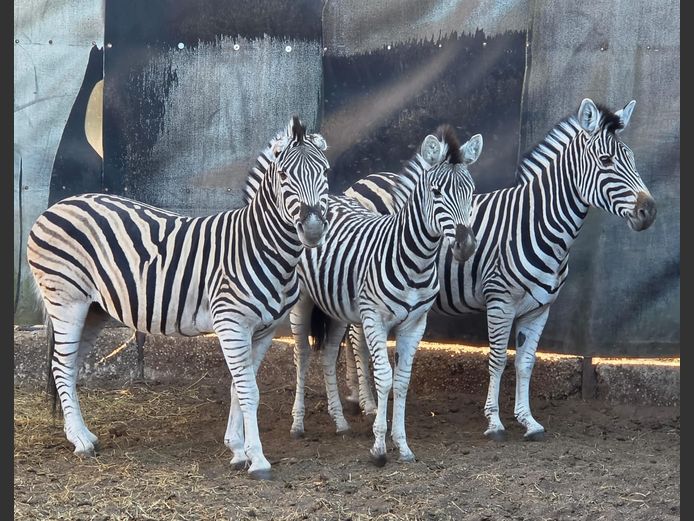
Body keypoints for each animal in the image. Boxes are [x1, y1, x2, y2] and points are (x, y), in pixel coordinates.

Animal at [27, 116, 331, 480]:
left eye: (325, 171)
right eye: (284, 176)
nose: (313, 230)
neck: (260, 247)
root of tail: (57, 206)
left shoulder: (263, 331)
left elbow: (238, 386)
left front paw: (237, 449)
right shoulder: (232, 324)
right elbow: (249, 391)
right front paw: (257, 459)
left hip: (93, 309)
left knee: (69, 368)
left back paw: (82, 435)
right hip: (66, 301)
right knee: (60, 366)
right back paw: (81, 443)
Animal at [287, 126, 484, 466]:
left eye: (470, 191)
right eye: (436, 192)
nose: (466, 246)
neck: (415, 260)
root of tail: (330, 198)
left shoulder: (415, 324)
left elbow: (402, 381)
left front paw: (402, 445)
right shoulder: (373, 318)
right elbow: (384, 377)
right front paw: (379, 447)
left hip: (337, 307)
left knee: (327, 354)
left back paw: (340, 422)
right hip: (303, 302)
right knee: (302, 355)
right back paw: (298, 425)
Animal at [339, 98, 657, 441]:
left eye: (631, 159)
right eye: (606, 160)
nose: (649, 211)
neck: (536, 223)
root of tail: (361, 181)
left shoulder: (539, 308)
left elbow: (526, 363)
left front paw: (528, 421)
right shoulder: (500, 302)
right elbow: (498, 360)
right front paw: (494, 422)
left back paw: (355, 398)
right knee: (357, 340)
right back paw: (368, 404)